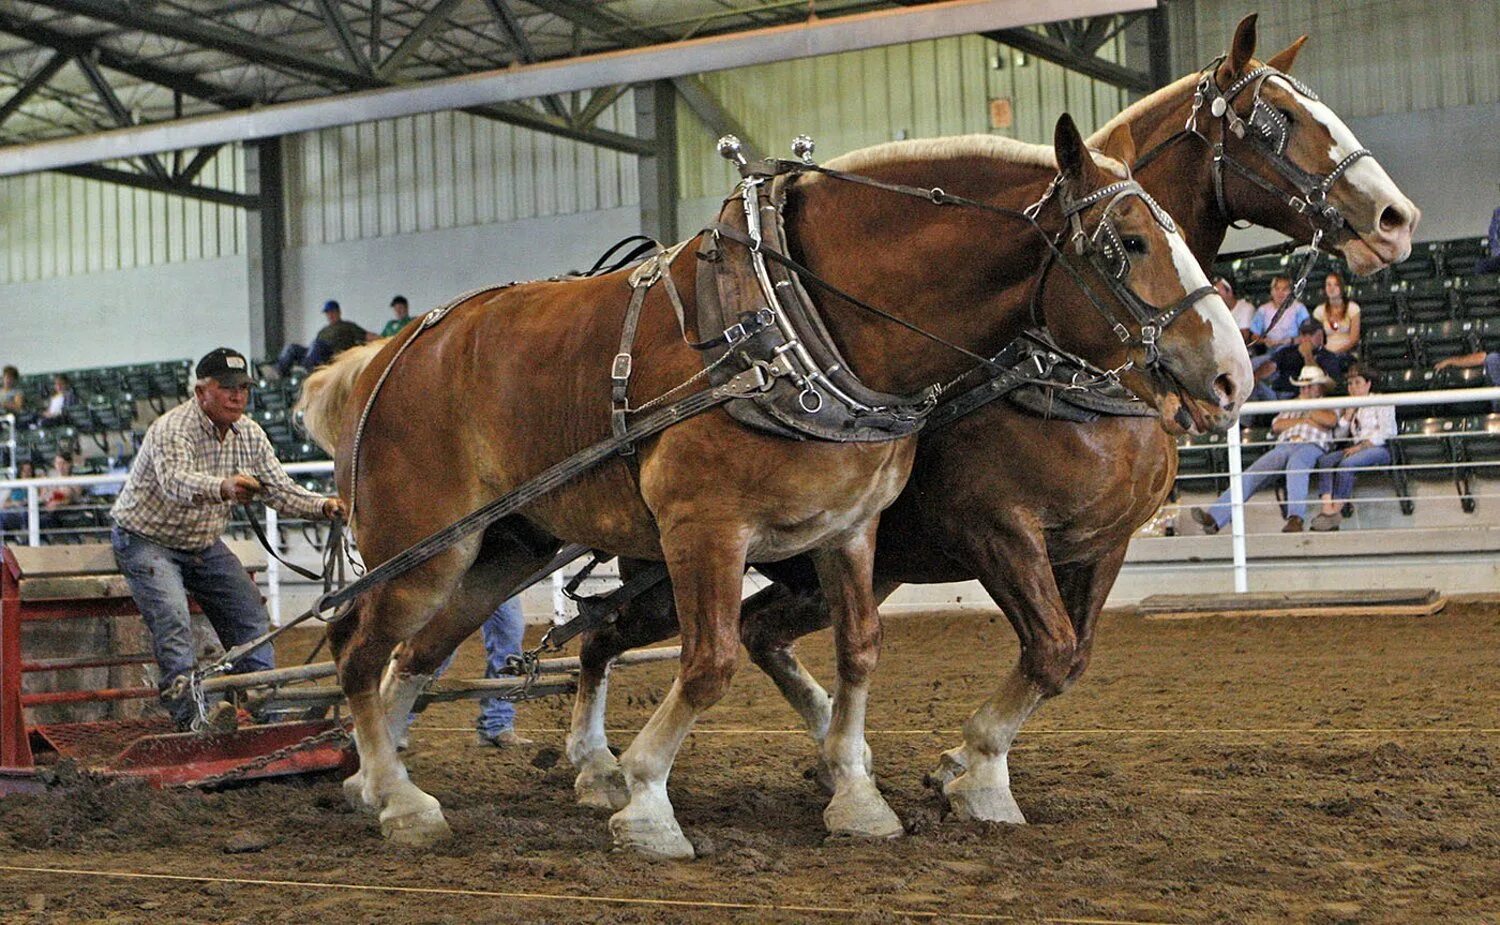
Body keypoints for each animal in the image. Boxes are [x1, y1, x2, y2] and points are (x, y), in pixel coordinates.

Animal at [564, 12, 1416, 821]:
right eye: (1279, 119)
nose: (1396, 217)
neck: (1065, 366)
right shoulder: (996, 528)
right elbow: (1049, 648)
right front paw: (975, 768)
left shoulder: (1102, 544)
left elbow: (1069, 656)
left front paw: (959, 765)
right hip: (683, 554)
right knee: (608, 632)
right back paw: (602, 763)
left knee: (749, 631)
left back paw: (832, 757)